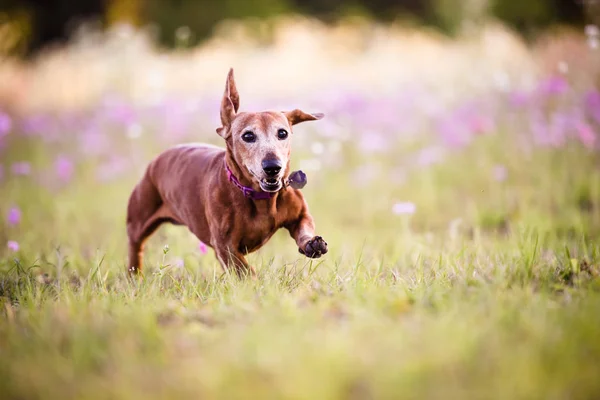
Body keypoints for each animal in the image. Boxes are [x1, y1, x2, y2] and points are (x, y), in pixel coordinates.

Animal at [125, 69, 328, 276]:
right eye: (248, 135)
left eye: (282, 133)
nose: (273, 166)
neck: (260, 197)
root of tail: (156, 161)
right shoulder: (225, 246)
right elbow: (246, 271)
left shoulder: (300, 215)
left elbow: (304, 227)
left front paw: (311, 244)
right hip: (138, 221)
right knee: (136, 246)